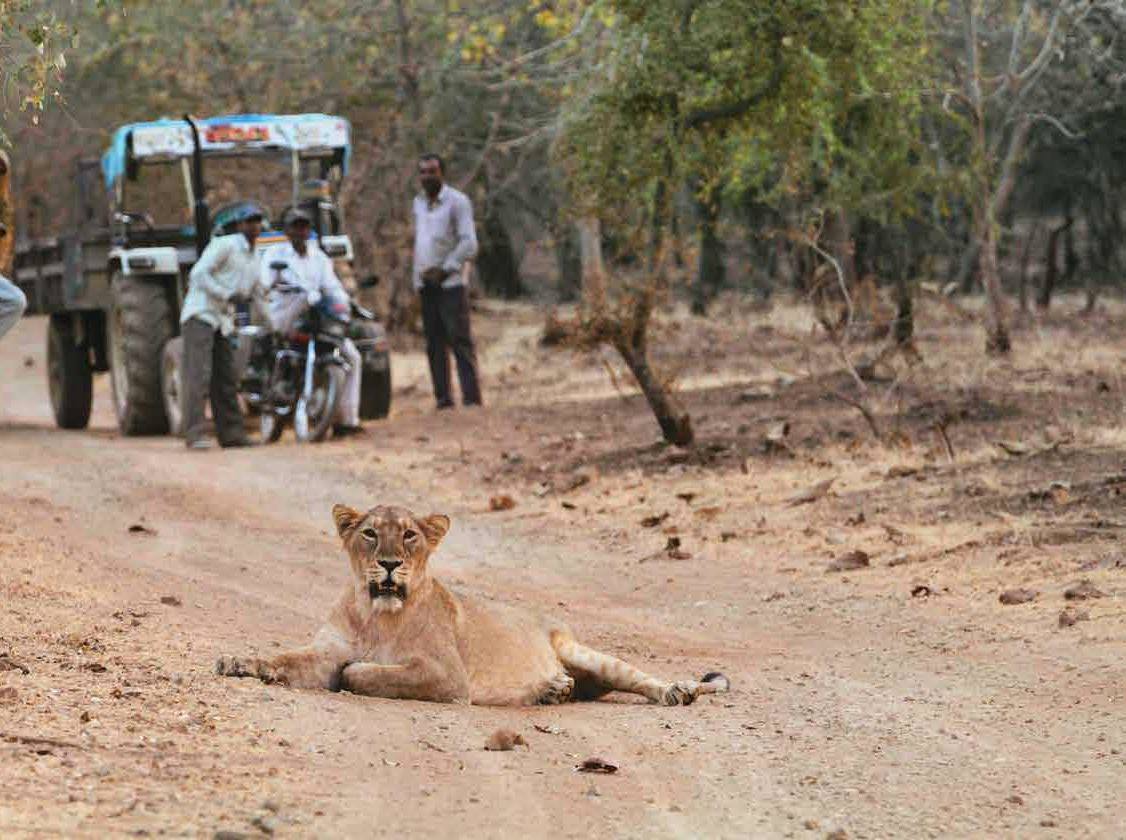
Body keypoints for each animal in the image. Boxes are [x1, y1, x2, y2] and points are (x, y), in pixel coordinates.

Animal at [216, 504, 729, 706]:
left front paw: (356, 672)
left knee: (641, 679)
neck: (376, 616)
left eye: (409, 535)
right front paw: (238, 662)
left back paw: (678, 690)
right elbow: (285, 658)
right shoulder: (325, 650)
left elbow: (359, 673)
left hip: (582, 651)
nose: (388, 564)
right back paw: (552, 689)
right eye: (369, 533)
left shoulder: (446, 675)